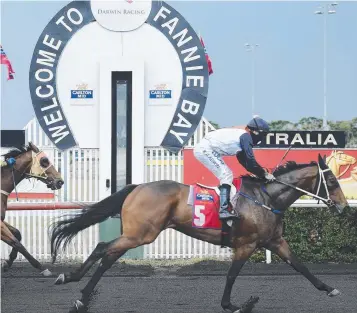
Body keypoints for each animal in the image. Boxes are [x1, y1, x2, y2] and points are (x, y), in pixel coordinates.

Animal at [0, 141, 63, 276]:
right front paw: (42, 267)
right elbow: (17, 243)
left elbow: (17, 234)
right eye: (44, 160)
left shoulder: (1, 220)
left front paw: (7, 263)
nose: (60, 181)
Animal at [50, 154, 348, 312]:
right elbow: (231, 276)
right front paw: (234, 304)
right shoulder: (246, 244)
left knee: (108, 255)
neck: (266, 199)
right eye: (332, 180)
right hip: (141, 234)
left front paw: (330, 288)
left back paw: (80, 292)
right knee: (103, 248)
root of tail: (137, 187)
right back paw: (74, 286)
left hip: (136, 233)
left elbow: (300, 266)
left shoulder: (275, 241)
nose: (345, 208)